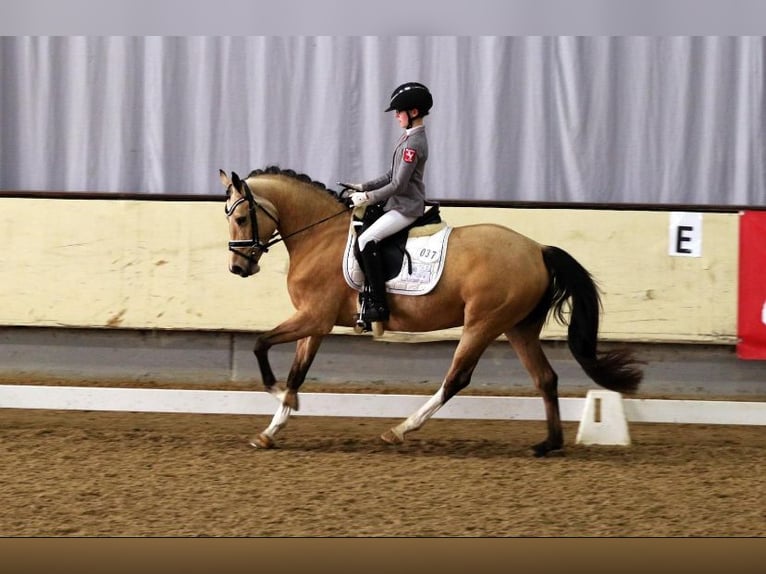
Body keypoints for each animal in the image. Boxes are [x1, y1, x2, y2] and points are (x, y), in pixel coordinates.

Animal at [222, 168, 648, 460]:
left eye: (241, 218)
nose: (239, 268)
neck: (318, 237)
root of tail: (538, 249)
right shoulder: (315, 323)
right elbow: (297, 373)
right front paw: (271, 430)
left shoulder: (314, 318)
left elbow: (261, 345)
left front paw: (279, 396)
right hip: (518, 327)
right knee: (545, 378)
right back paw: (548, 444)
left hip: (483, 323)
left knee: (457, 378)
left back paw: (400, 430)